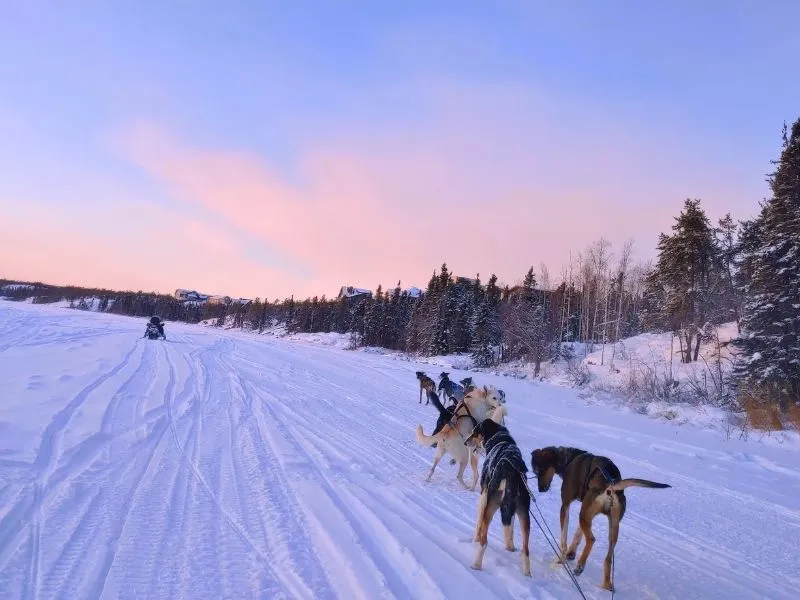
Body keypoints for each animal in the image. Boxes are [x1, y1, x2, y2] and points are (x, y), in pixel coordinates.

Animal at [462, 418, 532, 576]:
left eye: (475, 432)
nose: (465, 442)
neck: (500, 439)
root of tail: (511, 470)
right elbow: (509, 530)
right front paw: (510, 547)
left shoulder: (483, 496)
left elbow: (478, 524)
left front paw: (474, 539)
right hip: (524, 513)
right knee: (526, 549)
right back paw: (527, 574)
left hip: (491, 505)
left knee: (484, 540)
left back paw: (476, 564)